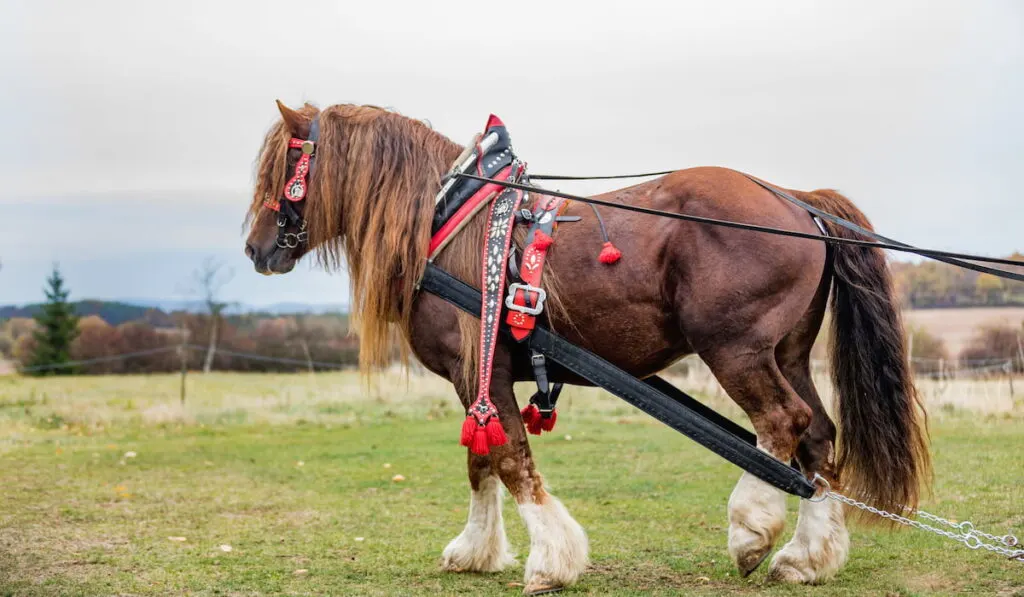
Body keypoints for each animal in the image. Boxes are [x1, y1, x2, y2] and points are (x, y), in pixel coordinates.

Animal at [243, 101, 933, 593]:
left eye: (284, 171)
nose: (256, 248)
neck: (449, 222)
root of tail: (797, 201)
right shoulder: (478, 376)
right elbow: (481, 462)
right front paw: (475, 551)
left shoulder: (481, 370)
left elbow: (510, 460)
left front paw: (551, 559)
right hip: (785, 351)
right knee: (817, 435)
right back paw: (806, 557)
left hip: (735, 348)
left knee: (781, 424)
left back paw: (751, 532)